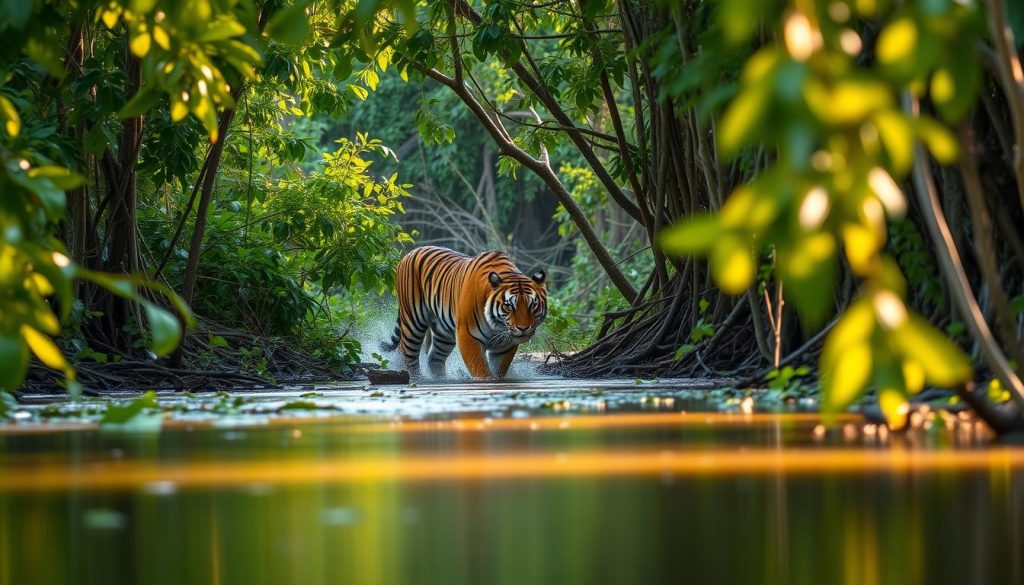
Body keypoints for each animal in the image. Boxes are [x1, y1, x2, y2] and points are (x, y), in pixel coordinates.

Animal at [381, 246, 547, 379]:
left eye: (533, 305)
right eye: (509, 306)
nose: (523, 328)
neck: (498, 326)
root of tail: (409, 253)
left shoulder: (505, 345)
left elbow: (500, 369)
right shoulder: (468, 336)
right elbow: (480, 369)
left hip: (443, 332)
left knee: (434, 358)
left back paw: (441, 379)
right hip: (413, 322)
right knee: (406, 351)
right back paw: (415, 377)